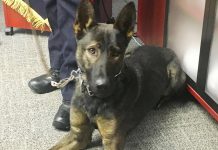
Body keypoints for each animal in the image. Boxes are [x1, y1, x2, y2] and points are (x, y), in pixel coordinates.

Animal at [49, 0, 186, 149]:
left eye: (115, 53)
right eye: (92, 50)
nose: (102, 85)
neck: (94, 98)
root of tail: (164, 48)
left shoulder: (112, 140)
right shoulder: (78, 135)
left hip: (176, 76)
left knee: (169, 93)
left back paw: (160, 101)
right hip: (132, 52)